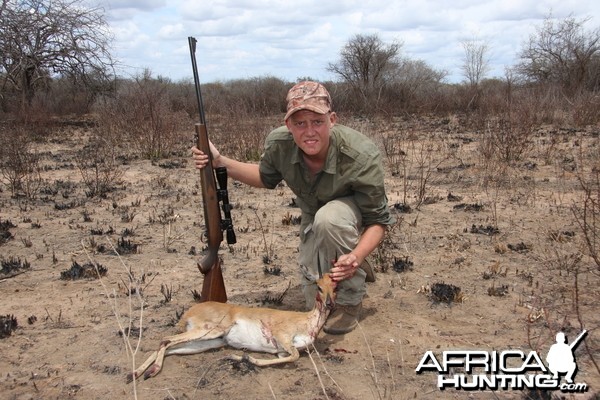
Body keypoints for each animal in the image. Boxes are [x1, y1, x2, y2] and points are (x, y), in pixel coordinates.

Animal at [126, 270, 336, 380]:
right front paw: (244, 357)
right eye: (319, 286)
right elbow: (295, 356)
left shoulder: (280, 352)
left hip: (209, 342)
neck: (307, 321)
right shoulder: (281, 337)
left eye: (335, 286)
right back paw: (150, 371)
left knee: (169, 347)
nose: (330, 304)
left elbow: (289, 357)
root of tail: (189, 313)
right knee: (166, 339)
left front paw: (239, 357)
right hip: (208, 332)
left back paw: (136, 373)